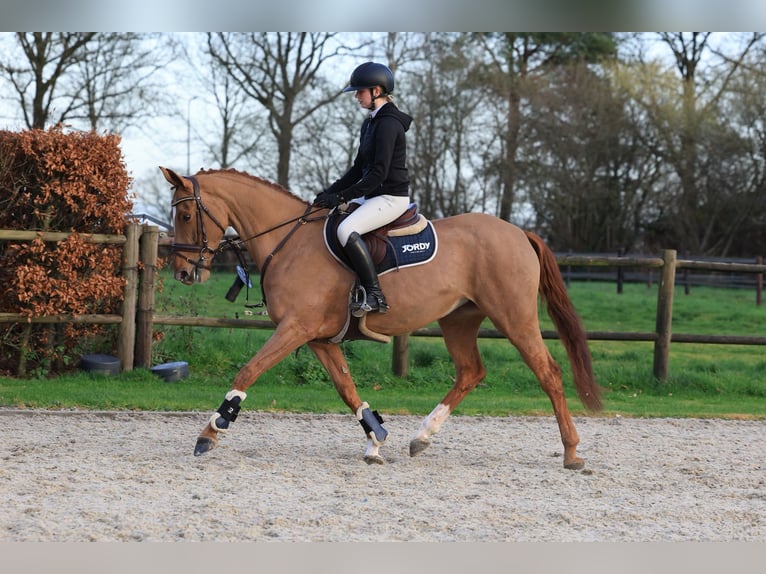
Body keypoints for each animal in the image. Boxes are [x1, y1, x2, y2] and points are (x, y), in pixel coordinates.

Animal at [160, 166, 602, 469]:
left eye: (186, 216)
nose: (183, 272)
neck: (289, 242)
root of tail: (518, 232)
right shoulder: (318, 338)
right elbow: (347, 389)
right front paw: (375, 439)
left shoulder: (296, 328)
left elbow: (248, 370)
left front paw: (211, 432)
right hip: (458, 320)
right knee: (470, 372)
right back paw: (422, 437)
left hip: (514, 316)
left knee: (549, 373)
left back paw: (572, 452)